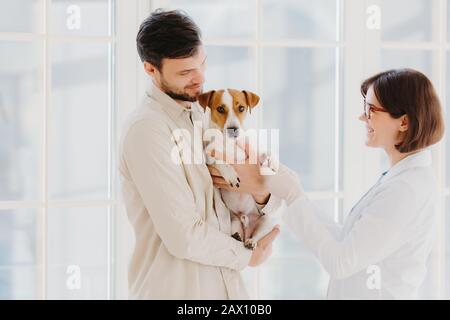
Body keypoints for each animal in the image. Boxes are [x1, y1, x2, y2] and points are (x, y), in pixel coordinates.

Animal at [199, 88, 276, 250]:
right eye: (220, 109)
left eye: (241, 108)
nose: (233, 129)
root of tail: (245, 222)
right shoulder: (209, 157)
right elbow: (221, 162)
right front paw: (231, 174)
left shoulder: (251, 153)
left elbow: (265, 152)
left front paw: (272, 162)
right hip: (233, 221)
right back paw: (238, 237)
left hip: (267, 221)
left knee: (257, 235)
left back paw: (251, 241)